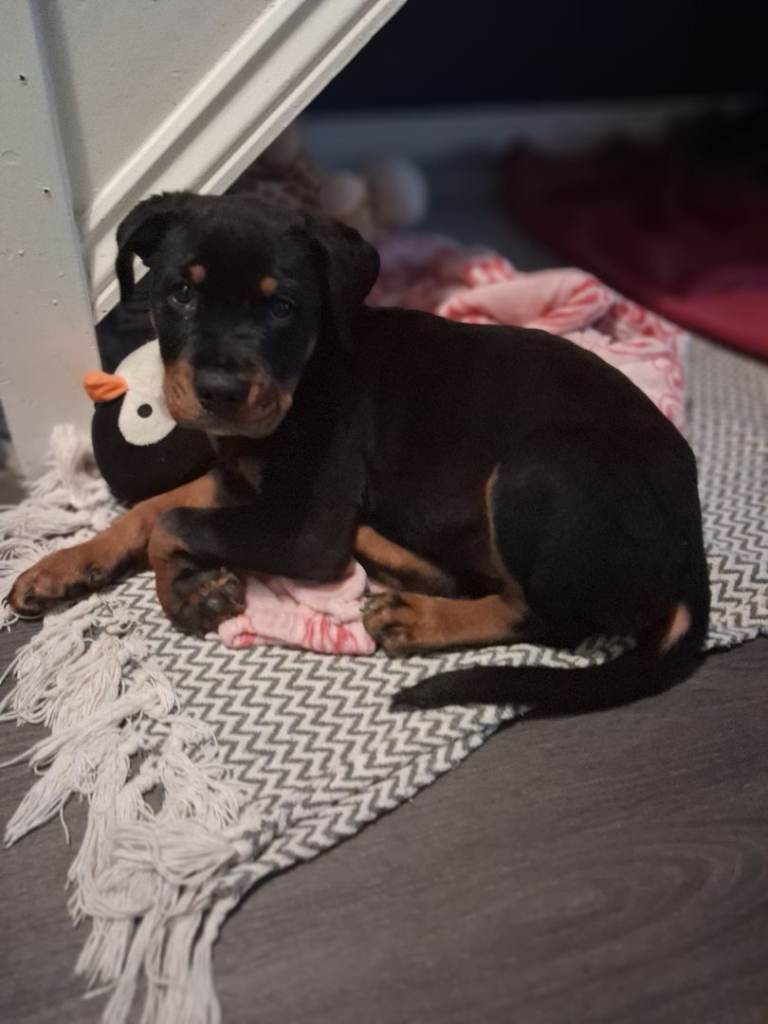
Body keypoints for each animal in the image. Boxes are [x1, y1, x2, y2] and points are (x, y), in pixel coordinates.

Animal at [9, 192, 710, 714]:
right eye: (181, 292)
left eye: (283, 306)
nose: (220, 392)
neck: (310, 370)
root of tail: (690, 539)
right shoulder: (244, 478)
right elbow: (151, 508)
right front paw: (63, 567)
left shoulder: (304, 527)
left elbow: (172, 523)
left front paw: (187, 594)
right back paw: (391, 555)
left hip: (541, 468)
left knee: (540, 615)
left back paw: (417, 617)